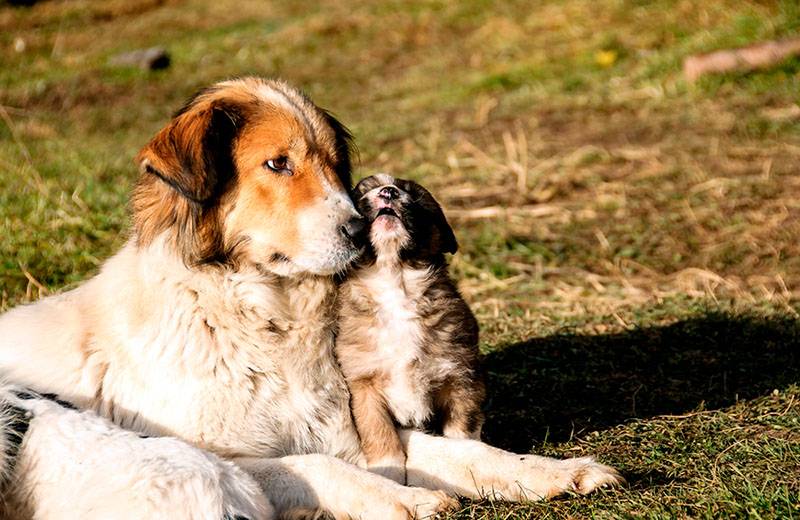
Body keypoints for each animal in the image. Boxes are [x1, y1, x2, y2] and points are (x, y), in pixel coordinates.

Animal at [334, 174, 484, 484]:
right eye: (362, 193)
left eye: (414, 195)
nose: (388, 192)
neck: (395, 282)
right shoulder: (363, 386)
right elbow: (380, 434)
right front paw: (389, 474)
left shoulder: (461, 377)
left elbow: (462, 429)